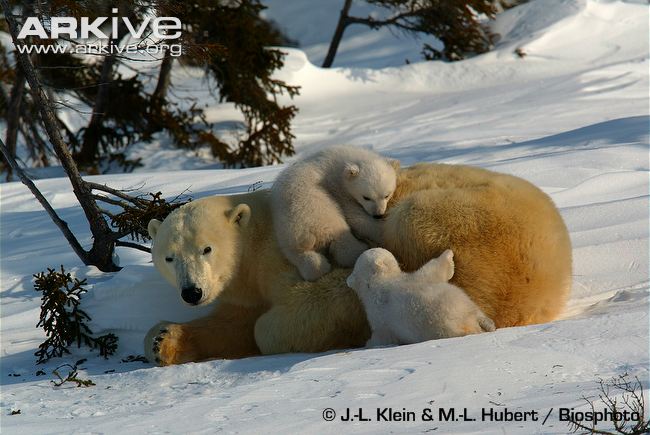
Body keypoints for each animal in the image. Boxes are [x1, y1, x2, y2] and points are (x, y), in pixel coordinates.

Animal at [270, 145, 399, 281]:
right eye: (366, 197)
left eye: (387, 195)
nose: (378, 214)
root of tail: (310, 235)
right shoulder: (338, 188)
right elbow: (355, 217)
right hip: (327, 216)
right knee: (345, 247)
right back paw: (363, 247)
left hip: (289, 240)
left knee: (304, 259)